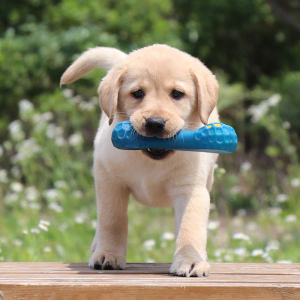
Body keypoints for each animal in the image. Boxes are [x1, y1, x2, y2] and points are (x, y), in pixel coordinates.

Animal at [61, 44, 219, 276]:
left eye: (177, 94)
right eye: (137, 93)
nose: (155, 123)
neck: (151, 162)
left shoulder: (191, 189)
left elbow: (190, 227)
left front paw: (190, 260)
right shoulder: (110, 181)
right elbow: (112, 220)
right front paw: (108, 253)